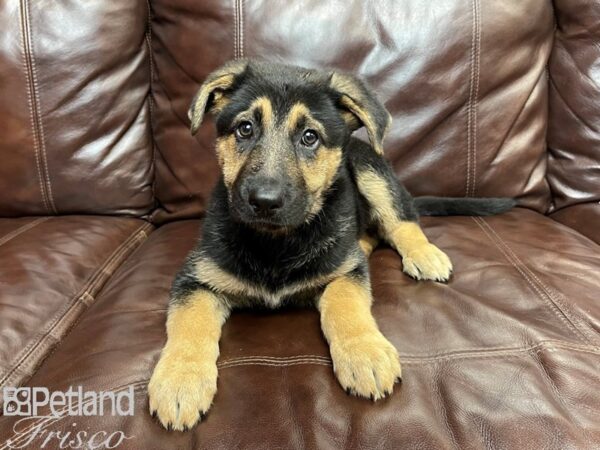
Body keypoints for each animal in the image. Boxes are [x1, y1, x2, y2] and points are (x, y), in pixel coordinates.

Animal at [148, 58, 512, 430]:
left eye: (310, 137)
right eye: (245, 129)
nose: (264, 201)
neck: (276, 243)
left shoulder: (344, 273)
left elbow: (345, 302)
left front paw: (364, 352)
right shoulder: (195, 278)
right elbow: (189, 323)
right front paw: (180, 380)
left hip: (369, 168)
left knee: (401, 221)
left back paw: (424, 253)